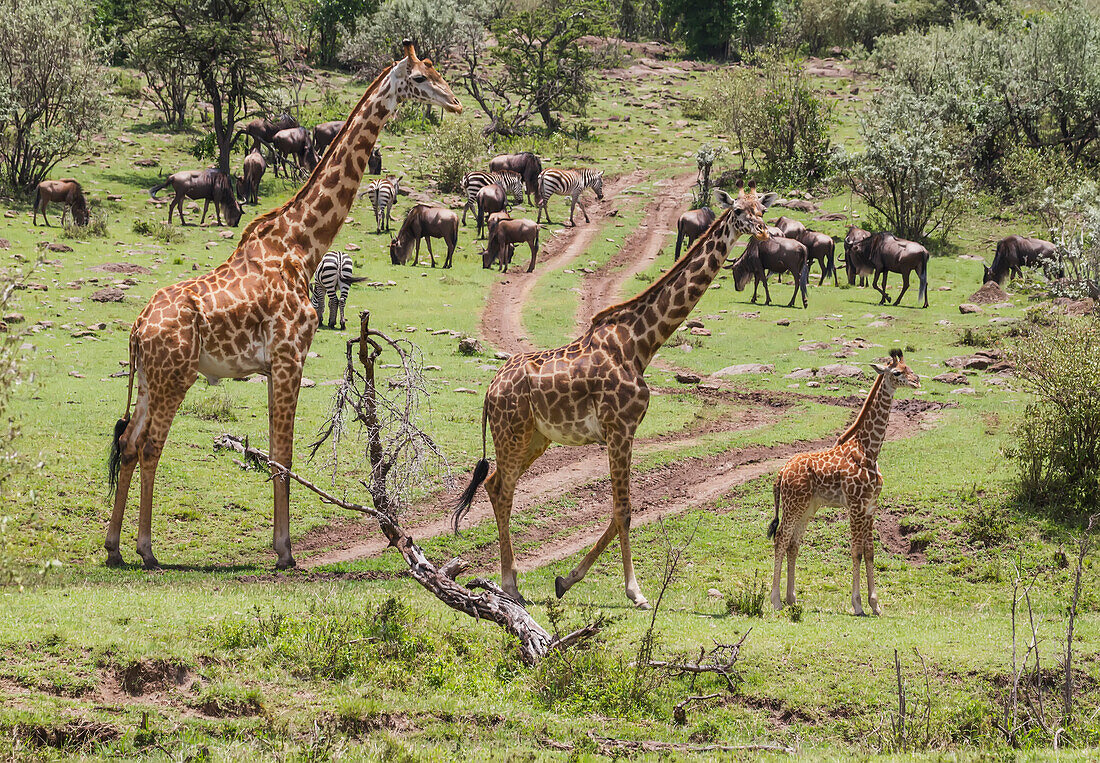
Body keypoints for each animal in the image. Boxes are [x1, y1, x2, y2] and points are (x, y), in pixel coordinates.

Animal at [105, 40, 462, 567]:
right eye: (419, 78)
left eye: (437, 72)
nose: (455, 103)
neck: (301, 243)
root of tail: (136, 329)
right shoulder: (291, 355)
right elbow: (284, 455)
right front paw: (285, 553)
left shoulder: (274, 364)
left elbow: (276, 453)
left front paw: (281, 547)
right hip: (175, 377)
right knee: (150, 446)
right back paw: (146, 551)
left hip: (150, 379)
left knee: (129, 444)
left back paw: (114, 549)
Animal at [451, 183, 778, 611]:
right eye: (738, 210)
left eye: (762, 209)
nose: (764, 232)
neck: (640, 344)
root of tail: (489, 391)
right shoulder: (620, 428)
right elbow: (624, 509)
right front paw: (635, 592)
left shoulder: (622, 432)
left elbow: (618, 510)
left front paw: (565, 579)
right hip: (512, 433)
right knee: (503, 490)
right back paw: (510, 585)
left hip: (535, 439)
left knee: (493, 486)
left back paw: (512, 581)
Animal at [765, 349, 919, 620]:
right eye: (897, 372)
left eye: (909, 368)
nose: (917, 381)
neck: (869, 450)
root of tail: (781, 473)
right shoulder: (855, 506)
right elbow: (856, 551)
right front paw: (857, 604)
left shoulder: (870, 507)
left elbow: (869, 551)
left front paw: (875, 604)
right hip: (793, 505)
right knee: (781, 538)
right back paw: (776, 602)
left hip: (807, 507)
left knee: (793, 543)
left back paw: (792, 599)